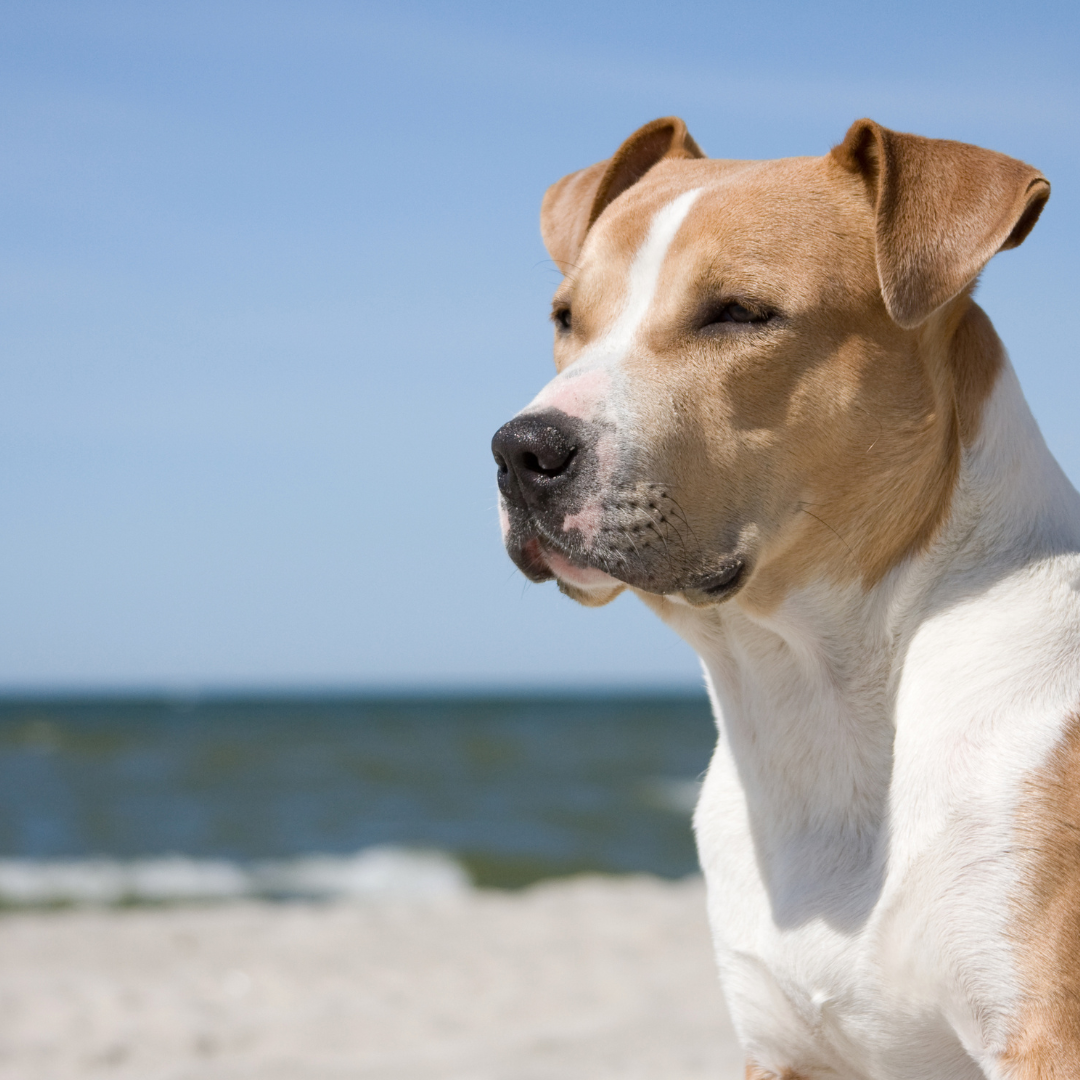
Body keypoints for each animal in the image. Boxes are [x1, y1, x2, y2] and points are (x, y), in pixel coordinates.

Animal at [492, 118, 1080, 1080]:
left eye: (738, 312)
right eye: (565, 318)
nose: (520, 449)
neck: (813, 696)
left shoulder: (1039, 1032)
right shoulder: (782, 1048)